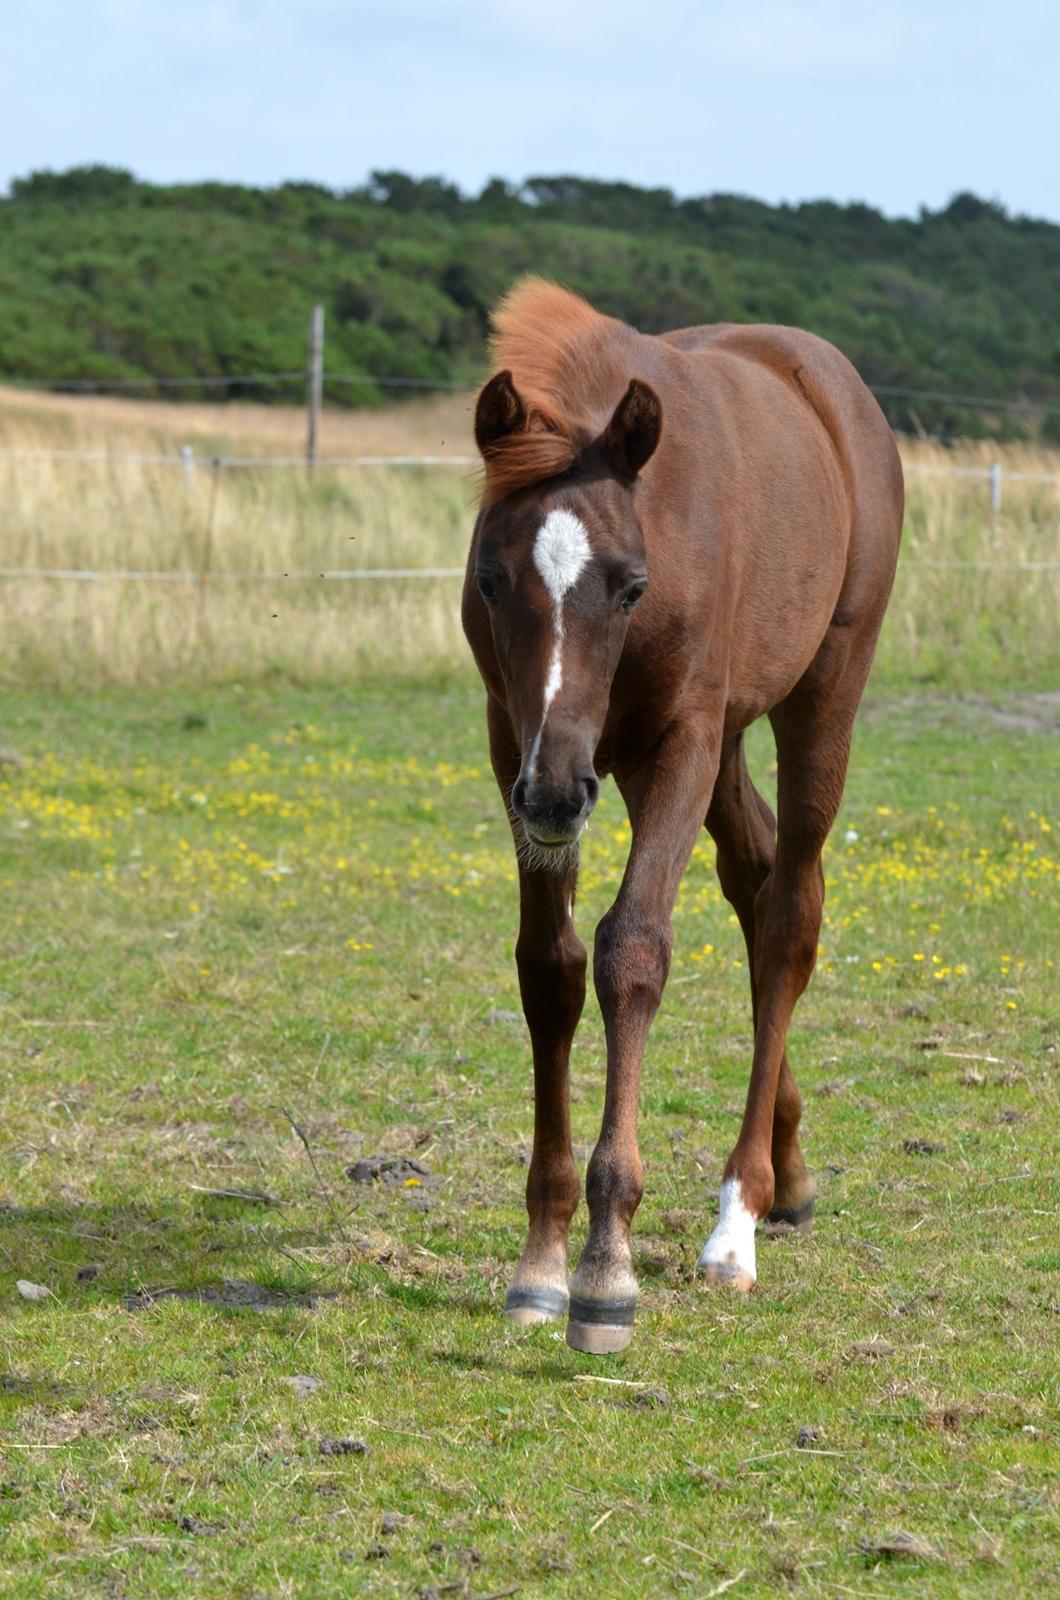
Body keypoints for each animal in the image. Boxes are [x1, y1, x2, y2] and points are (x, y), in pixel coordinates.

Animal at [461, 278, 903, 1350]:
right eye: (491, 580)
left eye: (631, 584)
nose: (556, 793)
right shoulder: (514, 742)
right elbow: (549, 968)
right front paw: (541, 1258)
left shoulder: (679, 743)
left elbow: (632, 950)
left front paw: (606, 1270)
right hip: (698, 746)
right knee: (754, 883)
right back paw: (789, 1172)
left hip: (818, 697)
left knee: (789, 916)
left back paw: (737, 1221)